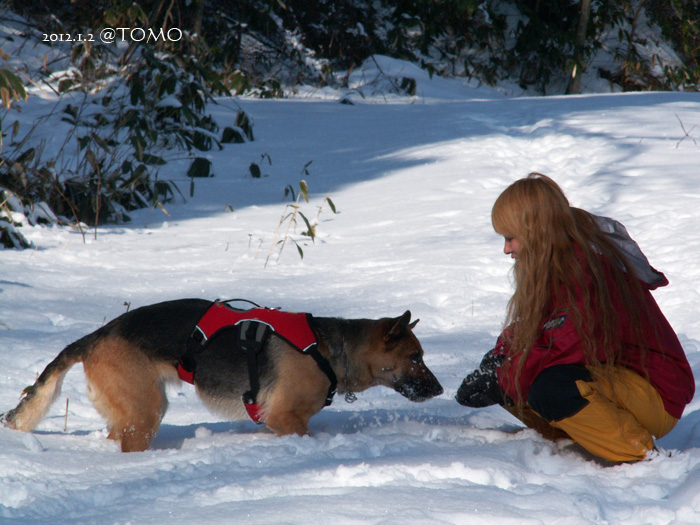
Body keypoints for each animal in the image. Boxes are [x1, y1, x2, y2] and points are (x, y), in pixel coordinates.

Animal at [1, 298, 442, 450]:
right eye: (415, 357)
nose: (440, 390)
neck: (329, 348)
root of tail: (96, 336)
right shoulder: (286, 418)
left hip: (132, 413)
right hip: (146, 411)